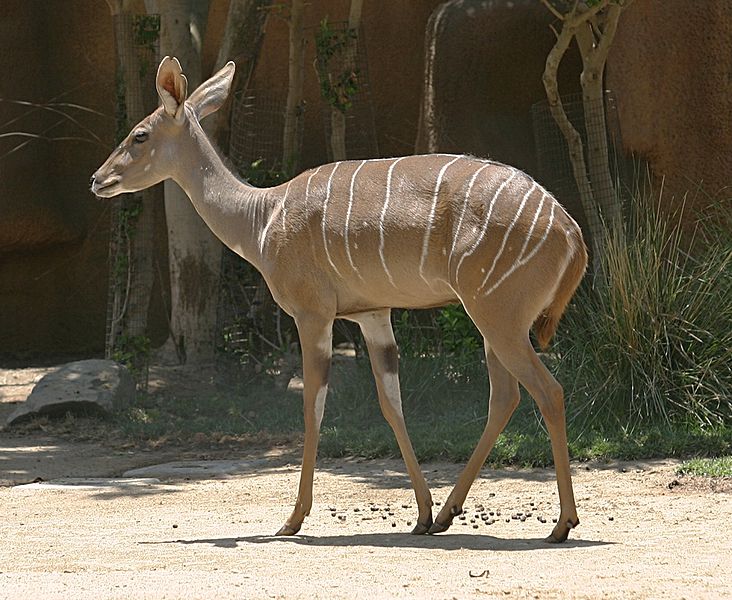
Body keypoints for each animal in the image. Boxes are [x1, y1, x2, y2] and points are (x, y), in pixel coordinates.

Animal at [91, 58, 588, 540]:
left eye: (140, 133)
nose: (97, 179)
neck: (261, 219)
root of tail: (571, 233)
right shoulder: (372, 314)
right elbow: (391, 405)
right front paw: (422, 513)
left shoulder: (312, 313)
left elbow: (313, 407)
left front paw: (292, 519)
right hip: (494, 321)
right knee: (506, 397)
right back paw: (447, 515)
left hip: (496, 315)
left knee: (548, 391)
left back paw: (562, 522)